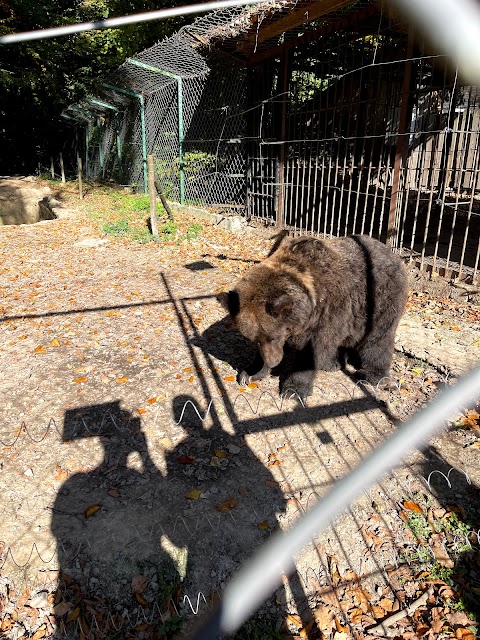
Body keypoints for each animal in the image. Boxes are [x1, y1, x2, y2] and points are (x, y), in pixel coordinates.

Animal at [218, 232, 408, 398]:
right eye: (253, 339)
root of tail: (391, 252)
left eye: (274, 336)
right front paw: (250, 372)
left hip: (379, 300)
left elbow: (309, 352)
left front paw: (293, 389)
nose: (273, 362)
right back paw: (333, 363)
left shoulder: (325, 312)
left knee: (378, 339)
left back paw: (371, 375)